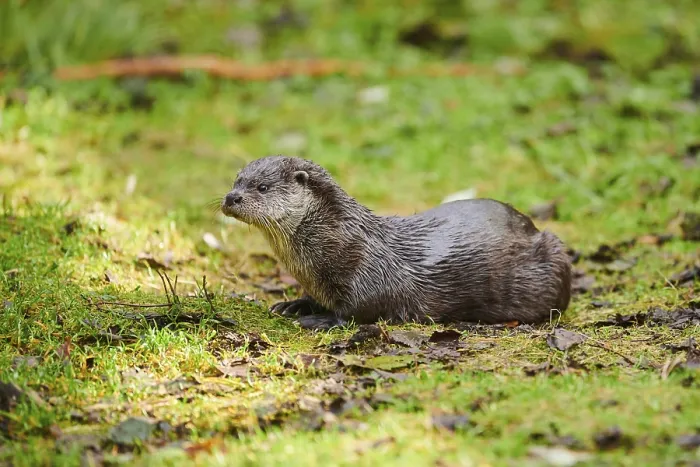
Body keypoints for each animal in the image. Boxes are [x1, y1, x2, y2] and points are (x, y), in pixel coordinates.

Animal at [221, 155, 572, 330]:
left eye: (263, 187)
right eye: (237, 180)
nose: (231, 197)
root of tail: (534, 228)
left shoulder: (370, 270)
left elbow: (361, 308)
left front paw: (320, 319)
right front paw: (295, 304)